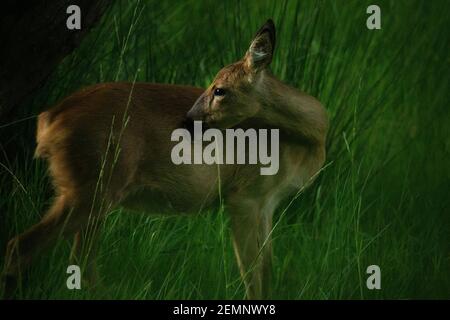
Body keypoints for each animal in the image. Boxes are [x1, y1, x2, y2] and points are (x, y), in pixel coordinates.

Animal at [2, 19, 326, 300]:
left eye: (220, 90)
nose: (187, 120)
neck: (308, 140)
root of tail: (49, 119)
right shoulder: (244, 196)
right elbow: (252, 273)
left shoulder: (267, 203)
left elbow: (267, 269)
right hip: (92, 188)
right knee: (21, 247)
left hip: (93, 193)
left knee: (80, 262)